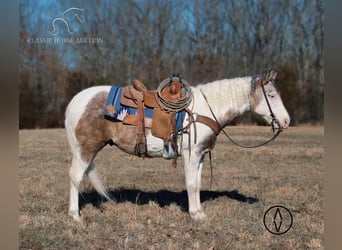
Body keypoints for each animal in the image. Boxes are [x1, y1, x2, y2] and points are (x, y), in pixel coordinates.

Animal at [64, 68, 288, 221]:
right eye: (271, 95)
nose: (286, 121)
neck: (205, 109)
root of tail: (75, 101)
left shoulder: (200, 154)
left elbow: (197, 183)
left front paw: (199, 212)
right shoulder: (191, 154)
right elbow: (191, 183)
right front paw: (194, 215)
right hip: (86, 149)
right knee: (75, 176)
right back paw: (75, 215)